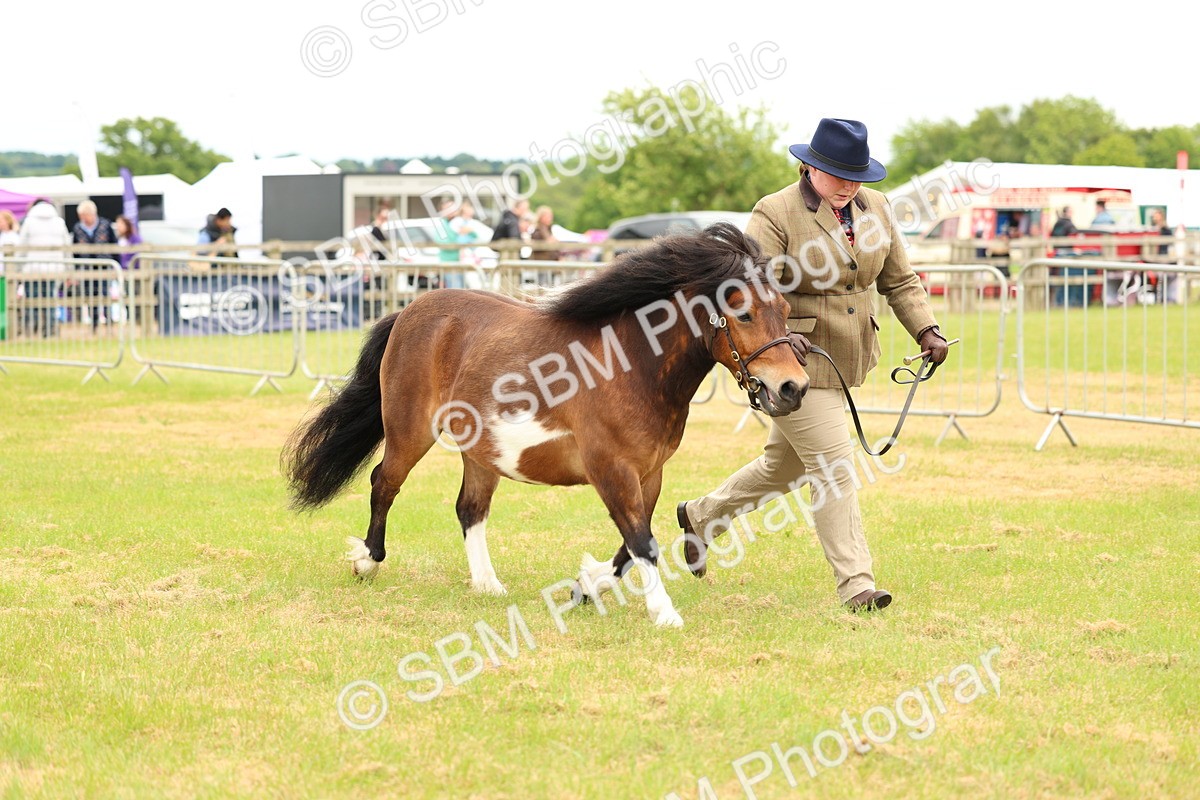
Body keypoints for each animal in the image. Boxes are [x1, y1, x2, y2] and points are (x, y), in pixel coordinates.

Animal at [283, 222, 810, 627]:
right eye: (743, 312)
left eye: (785, 310)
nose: (793, 387)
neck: (631, 364)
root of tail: (410, 311)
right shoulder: (611, 470)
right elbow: (643, 542)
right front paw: (664, 614)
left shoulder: (649, 473)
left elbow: (629, 547)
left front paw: (587, 586)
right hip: (411, 432)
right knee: (384, 482)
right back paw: (367, 561)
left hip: (481, 451)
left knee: (469, 508)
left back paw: (487, 584)